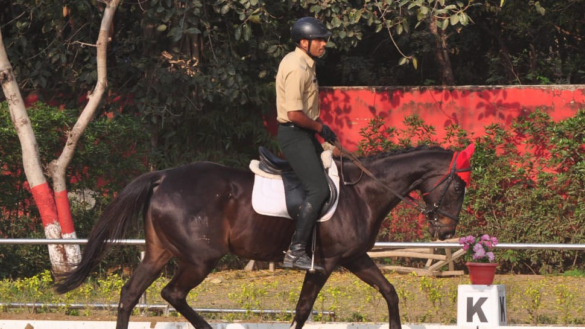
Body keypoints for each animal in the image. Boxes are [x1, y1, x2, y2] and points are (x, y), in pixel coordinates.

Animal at [56, 145, 474, 328]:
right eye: (457, 188)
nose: (445, 230)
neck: (363, 193)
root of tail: (163, 176)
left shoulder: (354, 258)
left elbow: (389, 292)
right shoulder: (323, 263)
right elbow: (303, 308)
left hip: (158, 252)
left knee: (130, 294)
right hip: (199, 259)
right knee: (172, 293)